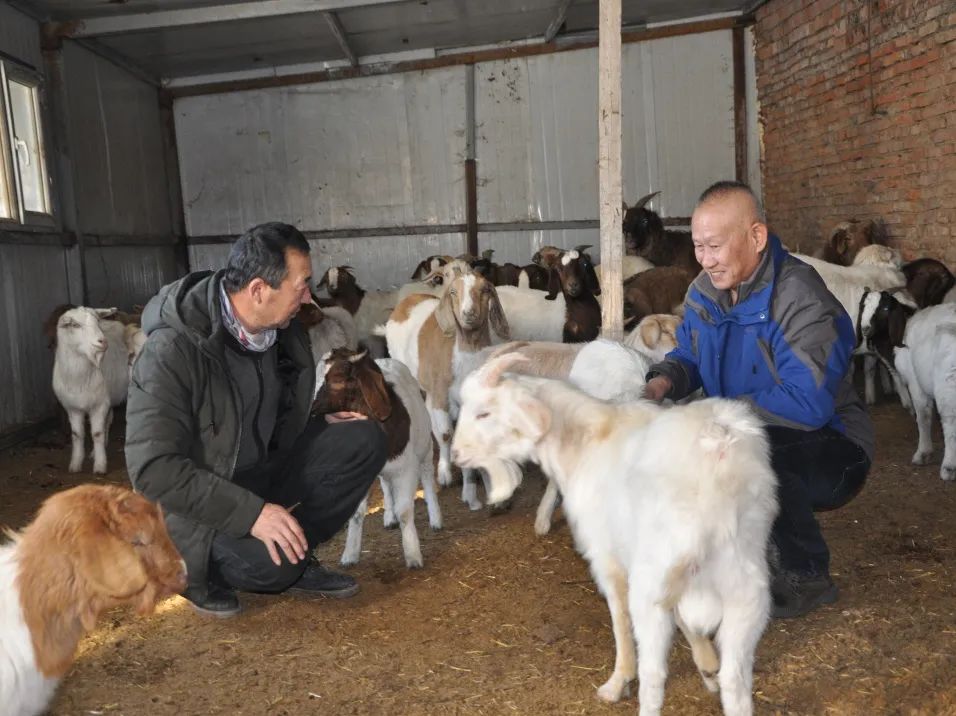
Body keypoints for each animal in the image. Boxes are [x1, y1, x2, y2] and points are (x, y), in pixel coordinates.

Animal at [52, 308, 130, 476]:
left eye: (97, 322)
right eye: (75, 325)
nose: (103, 342)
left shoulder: (100, 404)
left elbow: (97, 434)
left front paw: (100, 465)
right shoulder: (72, 408)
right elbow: (77, 435)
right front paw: (75, 463)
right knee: (108, 420)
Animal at [318, 346, 444, 564]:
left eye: (336, 380)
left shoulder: (406, 469)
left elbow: (405, 511)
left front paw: (412, 554)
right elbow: (356, 514)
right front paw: (350, 554)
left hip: (425, 446)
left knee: (428, 476)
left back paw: (435, 518)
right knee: (385, 484)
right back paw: (389, 516)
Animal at [450, 356, 776, 716]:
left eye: (484, 413)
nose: (456, 455)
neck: (585, 442)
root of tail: (717, 449)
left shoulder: (607, 558)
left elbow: (620, 618)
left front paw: (619, 680)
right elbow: (685, 619)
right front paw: (707, 666)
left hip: (654, 582)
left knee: (654, 673)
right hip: (744, 587)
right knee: (735, 678)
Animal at [892, 302, 952, 482]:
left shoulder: (915, 382)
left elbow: (923, 416)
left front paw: (923, 452)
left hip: (946, 384)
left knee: (949, 422)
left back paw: (948, 467)